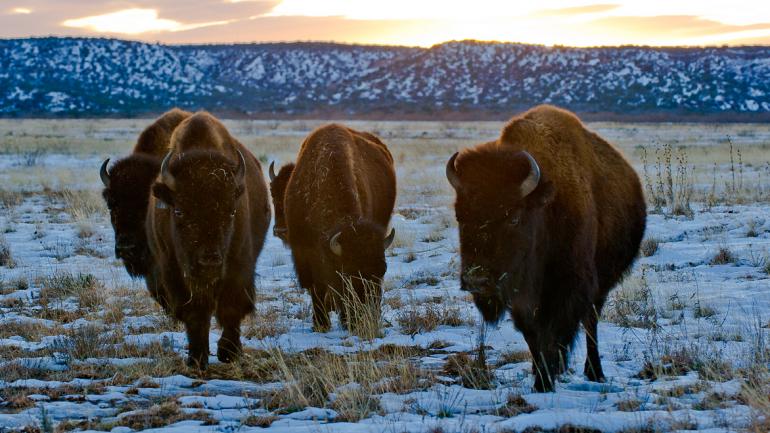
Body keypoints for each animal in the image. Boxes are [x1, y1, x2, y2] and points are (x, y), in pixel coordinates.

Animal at [146, 112, 271, 368]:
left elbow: (231, 308)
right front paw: (196, 357)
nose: (209, 261)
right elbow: (195, 313)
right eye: (179, 211)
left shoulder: (239, 267)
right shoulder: (174, 272)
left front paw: (229, 352)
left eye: (231, 212)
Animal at [274, 124, 396, 332]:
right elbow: (315, 289)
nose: (367, 319)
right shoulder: (304, 254)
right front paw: (320, 324)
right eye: (346, 274)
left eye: (384, 270)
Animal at [446, 105, 646, 392]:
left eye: (514, 218)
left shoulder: (568, 288)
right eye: (460, 216)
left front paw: (545, 381)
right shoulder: (522, 300)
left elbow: (554, 334)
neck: (543, 210)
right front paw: (541, 378)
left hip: (600, 285)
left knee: (591, 322)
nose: (477, 280)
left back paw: (594, 372)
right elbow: (533, 336)